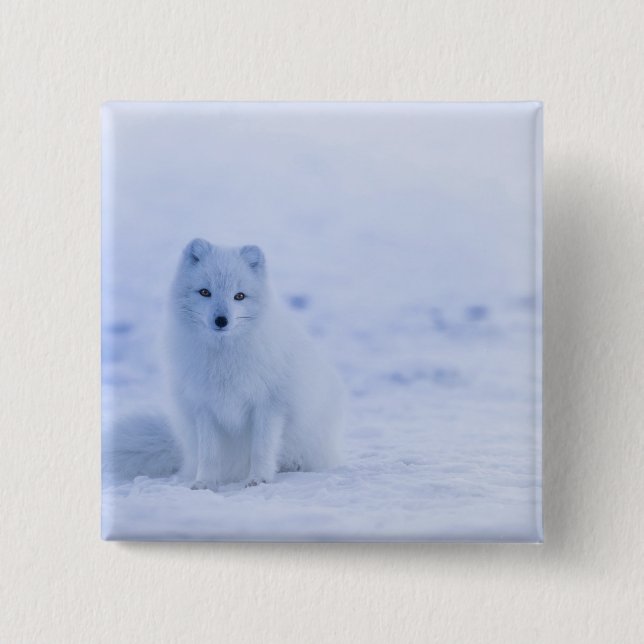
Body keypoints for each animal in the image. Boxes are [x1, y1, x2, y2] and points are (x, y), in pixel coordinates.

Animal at [103, 239, 345, 490]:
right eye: (205, 292)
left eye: (239, 296)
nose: (221, 320)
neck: (224, 358)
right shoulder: (204, 407)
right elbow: (209, 454)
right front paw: (205, 483)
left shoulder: (269, 405)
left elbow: (261, 449)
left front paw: (259, 479)